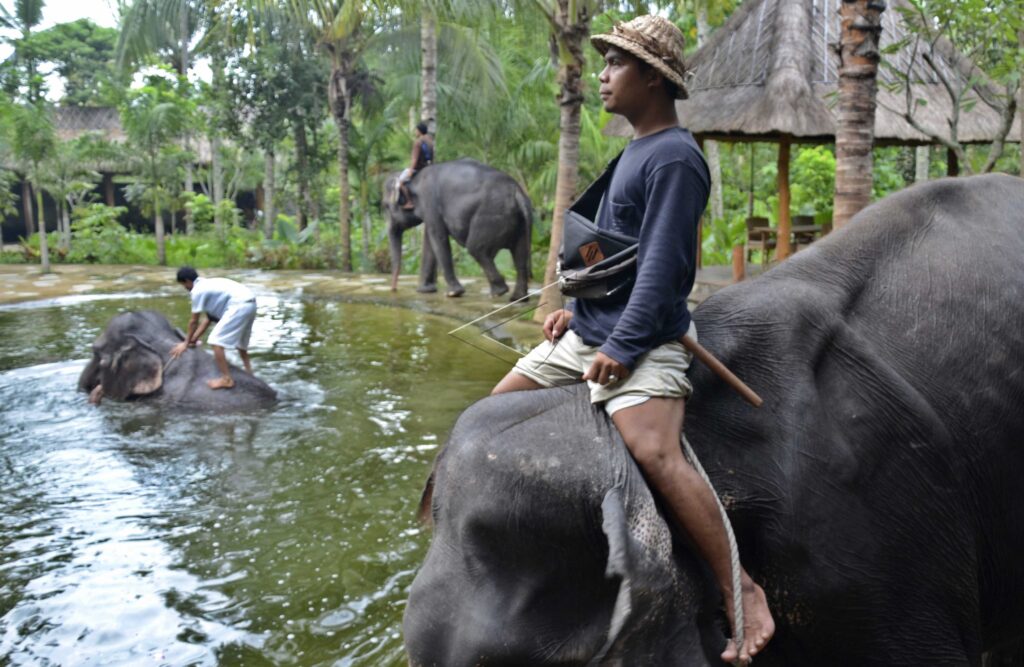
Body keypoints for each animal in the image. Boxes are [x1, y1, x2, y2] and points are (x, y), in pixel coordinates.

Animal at [383, 159, 533, 301]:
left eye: (386, 207)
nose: (393, 289)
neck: (414, 179)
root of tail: (517, 192)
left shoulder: (429, 201)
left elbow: (438, 238)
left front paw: (453, 293)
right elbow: (430, 241)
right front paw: (425, 291)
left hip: (491, 216)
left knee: (475, 248)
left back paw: (498, 292)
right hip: (519, 224)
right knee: (520, 256)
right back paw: (518, 298)